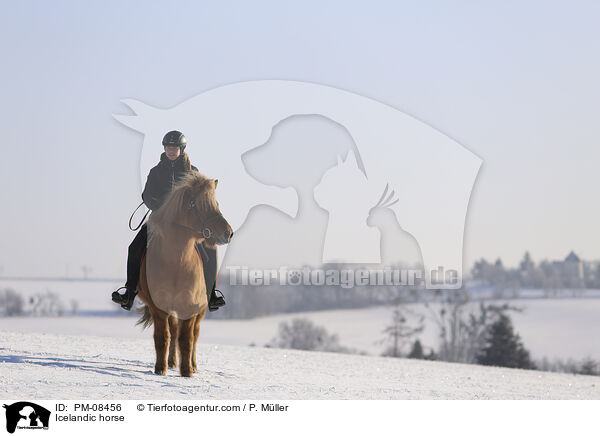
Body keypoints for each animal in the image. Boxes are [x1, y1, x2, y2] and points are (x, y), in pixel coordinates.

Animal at [136, 172, 232, 376]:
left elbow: (187, 340)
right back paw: (172, 362)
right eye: (201, 204)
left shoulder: (191, 306)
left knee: (194, 335)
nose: (228, 233)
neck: (176, 263)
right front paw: (160, 369)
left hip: (200, 310)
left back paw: (192, 365)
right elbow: (163, 337)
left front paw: (187, 371)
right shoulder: (159, 308)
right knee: (173, 331)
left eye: (216, 203)